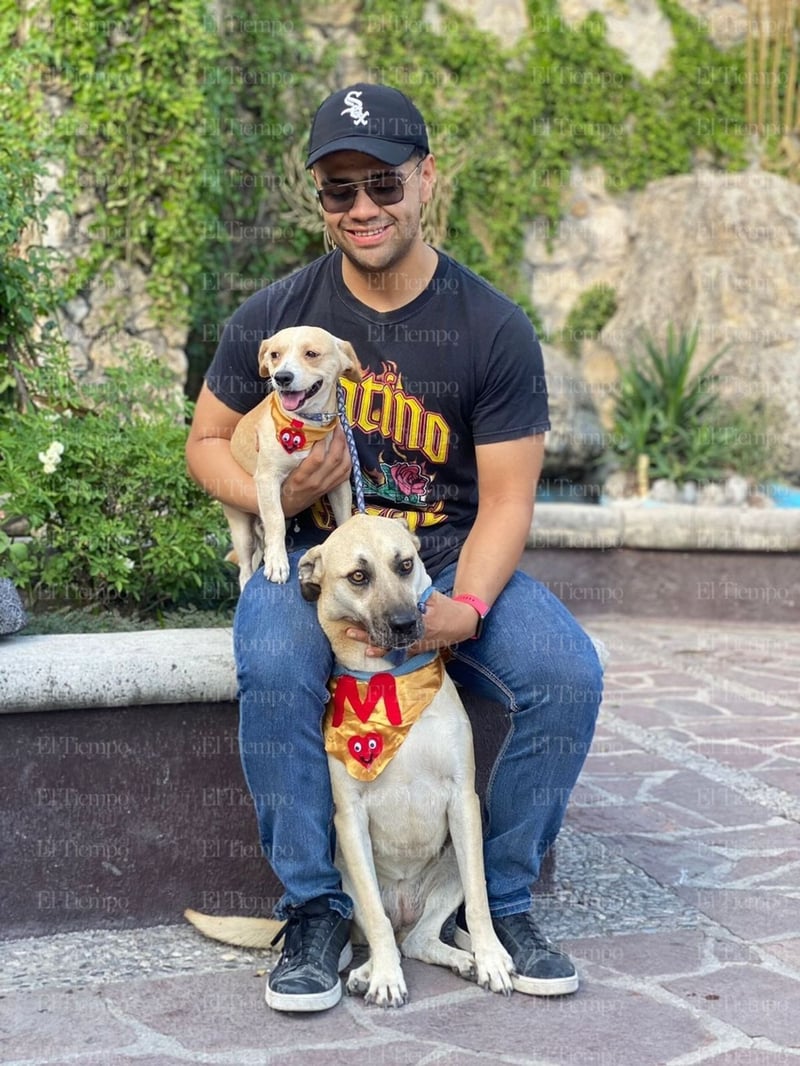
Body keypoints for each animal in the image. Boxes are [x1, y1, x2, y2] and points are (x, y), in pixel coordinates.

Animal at [185, 513, 516, 1006]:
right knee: (381, 934)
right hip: (344, 875)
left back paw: (463, 959)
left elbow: (479, 902)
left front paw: (491, 957)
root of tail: (405, 911)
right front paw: (385, 978)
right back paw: (364, 970)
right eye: (358, 577)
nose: (405, 623)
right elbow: (375, 918)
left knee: (418, 939)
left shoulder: (464, 803)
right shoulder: (350, 819)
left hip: (453, 863)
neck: (387, 682)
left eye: (405, 564)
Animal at [224, 326, 364, 588]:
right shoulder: (268, 479)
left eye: (311, 354)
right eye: (274, 355)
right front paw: (278, 563)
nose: (282, 377)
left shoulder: (339, 485)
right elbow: (276, 519)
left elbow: (344, 519)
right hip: (242, 530)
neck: (305, 424)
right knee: (245, 569)